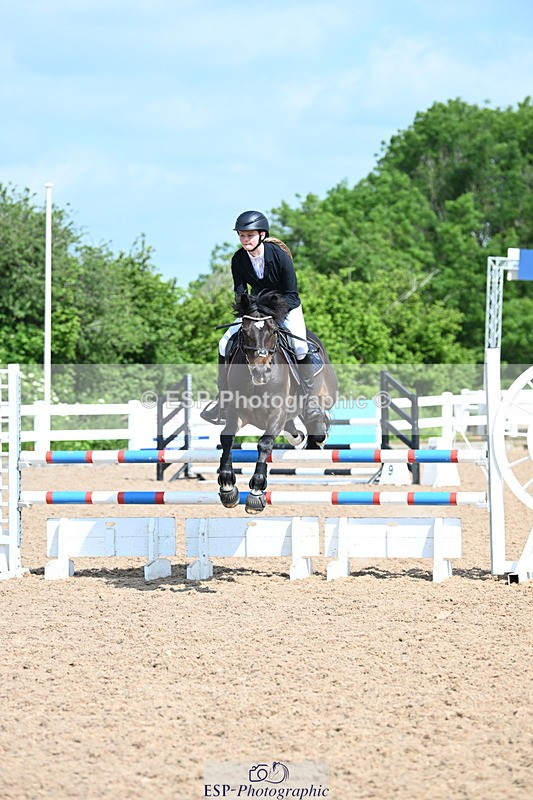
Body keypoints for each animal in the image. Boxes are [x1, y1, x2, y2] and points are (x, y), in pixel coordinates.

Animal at [217, 290, 338, 514]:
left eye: (273, 332)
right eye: (244, 332)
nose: (261, 372)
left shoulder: (277, 414)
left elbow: (264, 443)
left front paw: (256, 492)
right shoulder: (235, 412)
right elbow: (227, 438)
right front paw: (228, 486)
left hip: (325, 394)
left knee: (315, 417)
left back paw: (317, 433)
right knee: (298, 427)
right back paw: (298, 435)